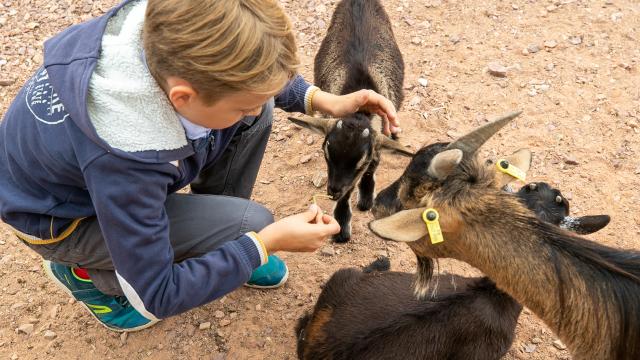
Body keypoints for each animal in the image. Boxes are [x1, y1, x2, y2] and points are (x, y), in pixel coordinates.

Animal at [288, 0, 410, 243]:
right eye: (326, 153)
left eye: (360, 162)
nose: (332, 191)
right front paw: (342, 225)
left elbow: (371, 168)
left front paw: (366, 198)